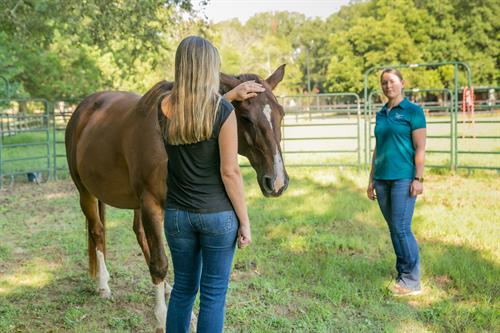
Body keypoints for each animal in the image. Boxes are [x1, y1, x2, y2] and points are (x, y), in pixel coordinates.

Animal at [64, 63, 288, 330]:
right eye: (245, 117)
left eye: (281, 114)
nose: (277, 182)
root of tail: (83, 109)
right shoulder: (151, 204)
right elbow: (160, 262)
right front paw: (162, 318)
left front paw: (185, 311)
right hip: (86, 192)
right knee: (97, 231)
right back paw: (103, 285)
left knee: (139, 235)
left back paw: (167, 288)